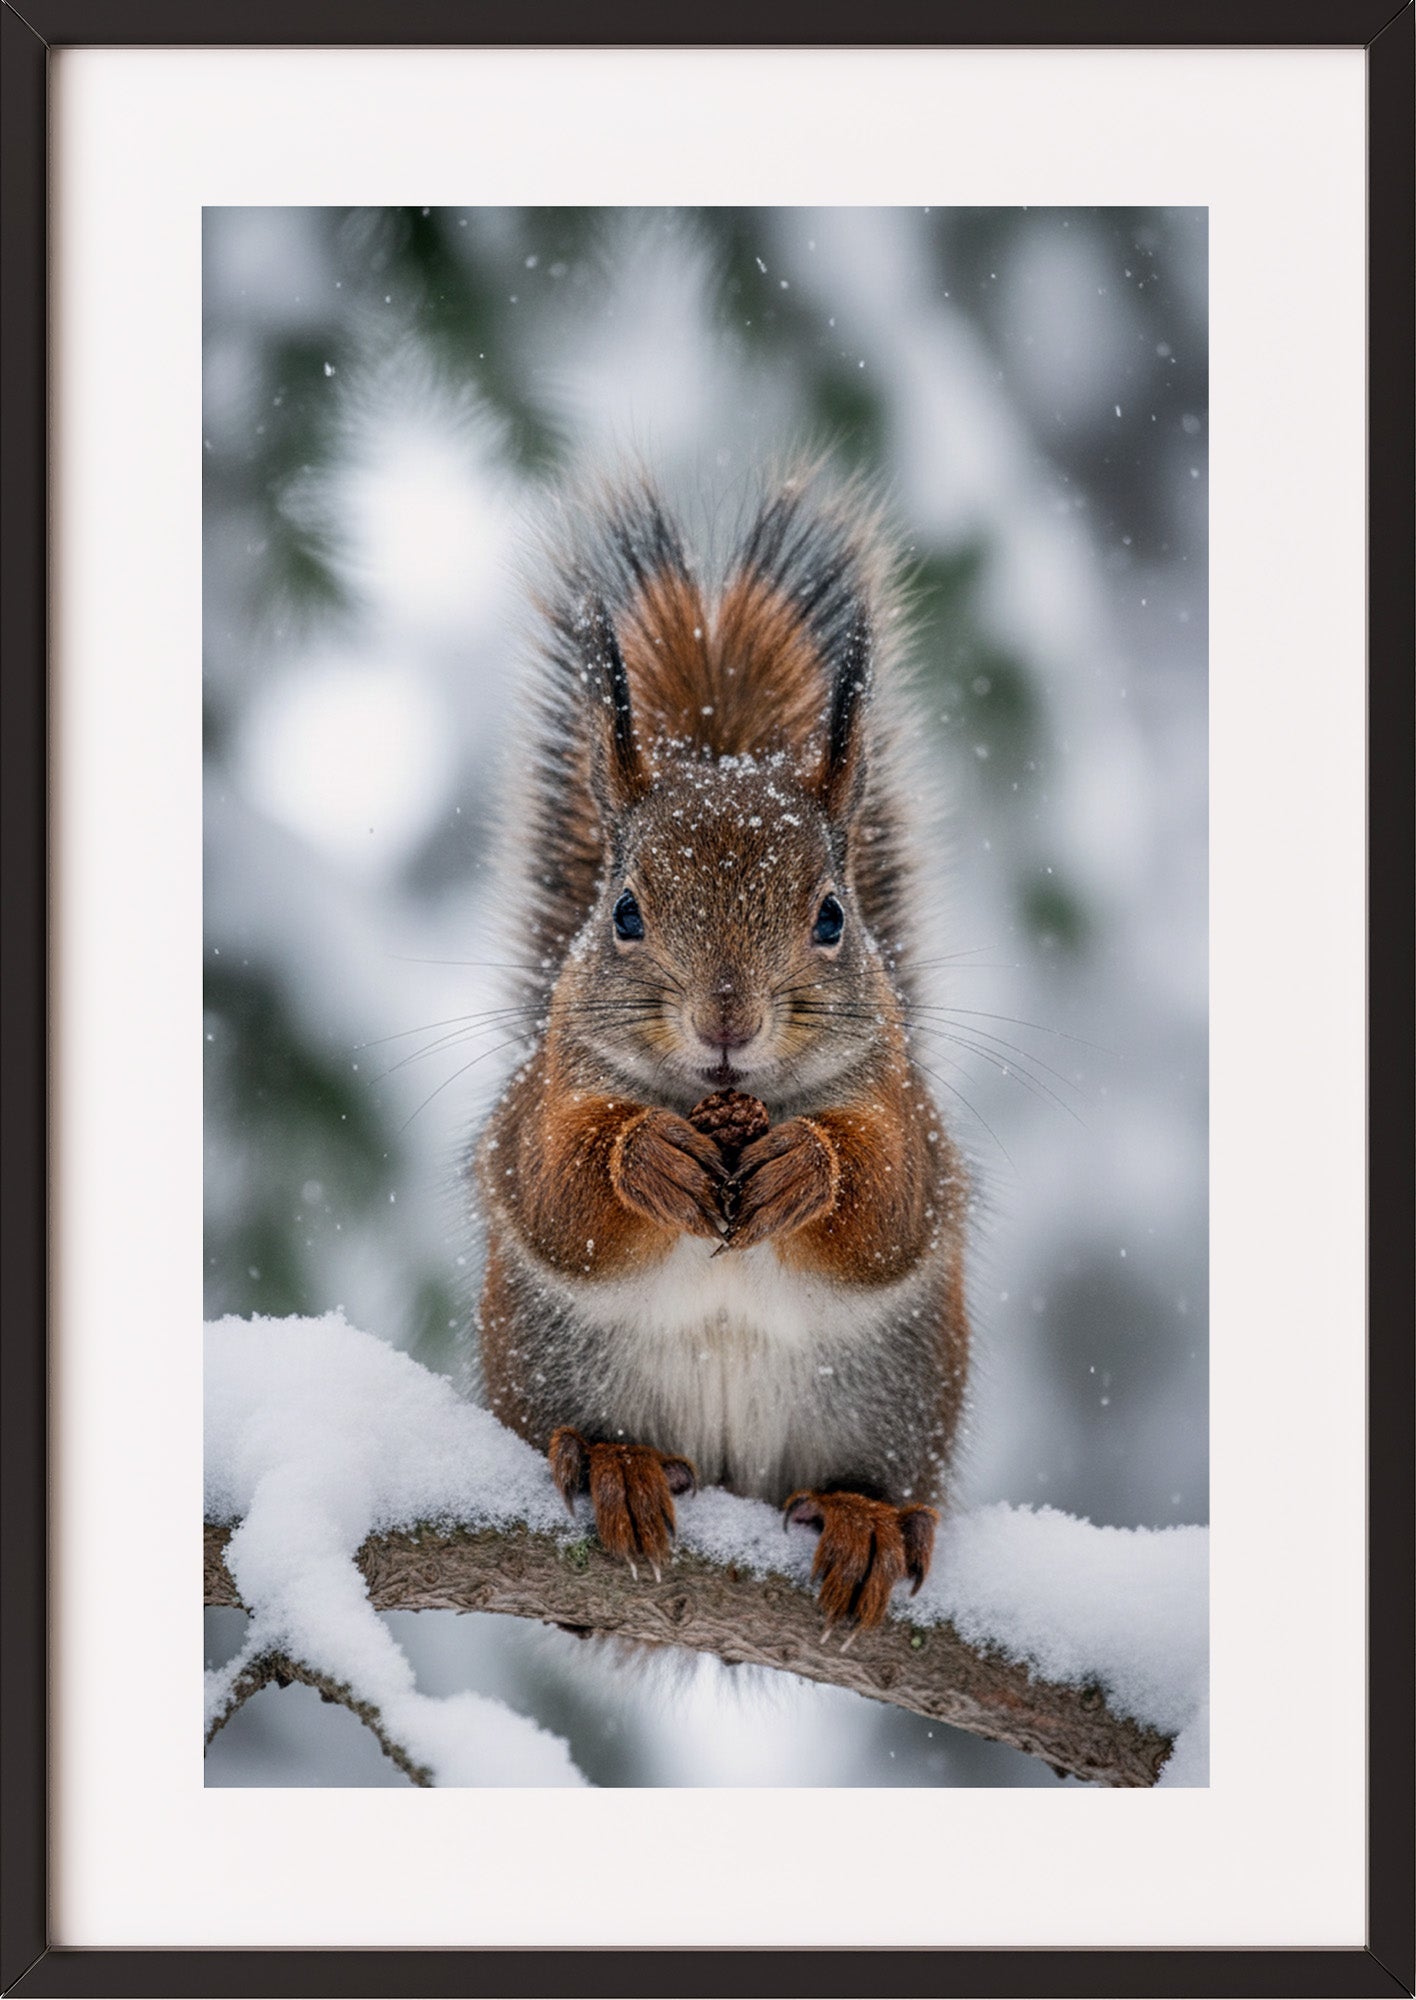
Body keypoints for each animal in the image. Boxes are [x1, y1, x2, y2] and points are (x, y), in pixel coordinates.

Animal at [475, 468, 970, 1632]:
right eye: (623, 913)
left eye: (832, 916)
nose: (726, 1022)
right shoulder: (543, 1093)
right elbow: (554, 1192)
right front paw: (645, 1157)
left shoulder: (905, 1105)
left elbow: (893, 1205)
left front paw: (807, 1167)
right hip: (550, 1363)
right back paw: (615, 1463)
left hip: (895, 1400)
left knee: (863, 1476)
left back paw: (865, 1518)